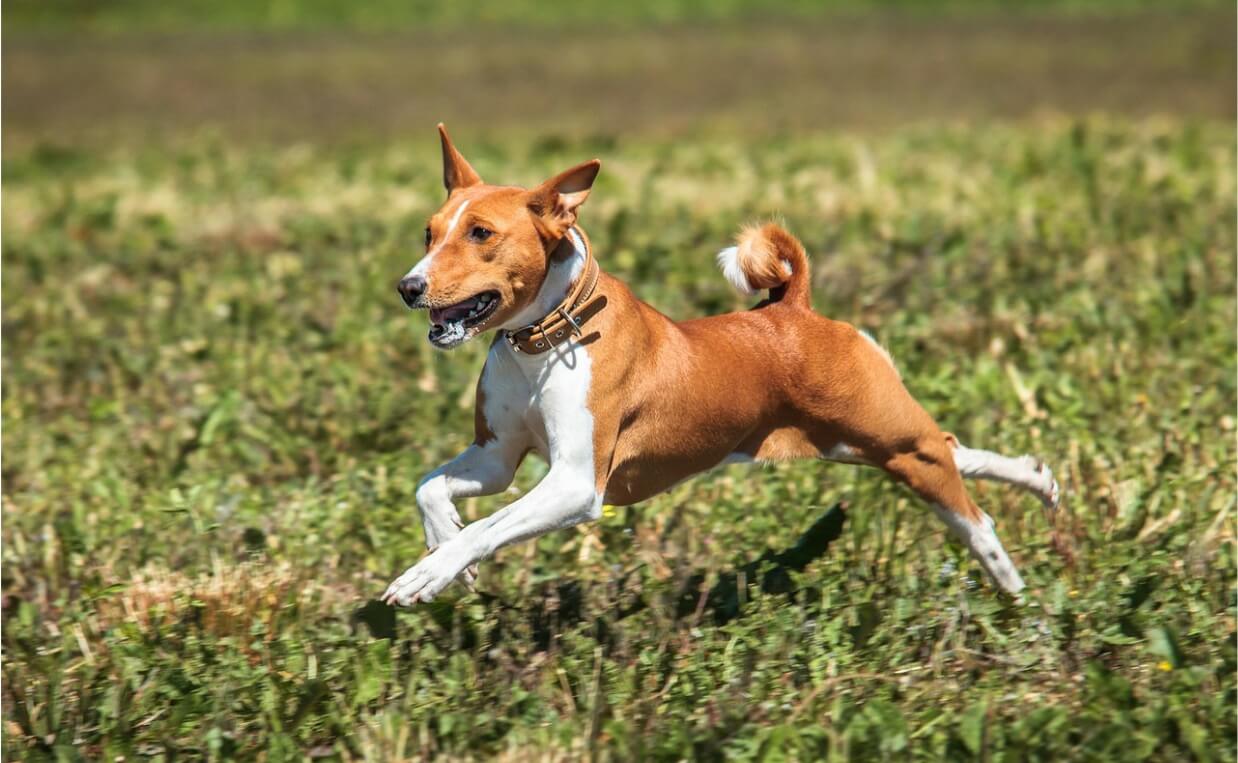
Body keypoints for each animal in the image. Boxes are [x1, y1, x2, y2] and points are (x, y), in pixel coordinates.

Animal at [381, 122, 1059, 604]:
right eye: (428, 232)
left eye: (481, 234)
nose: (408, 287)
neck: (542, 345)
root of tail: (794, 307)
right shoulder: (497, 457)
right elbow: (430, 489)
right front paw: (446, 555)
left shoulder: (575, 483)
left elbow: (485, 528)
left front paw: (430, 573)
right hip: (861, 443)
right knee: (955, 450)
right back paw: (1037, 479)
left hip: (889, 440)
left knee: (971, 512)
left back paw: (1011, 585)